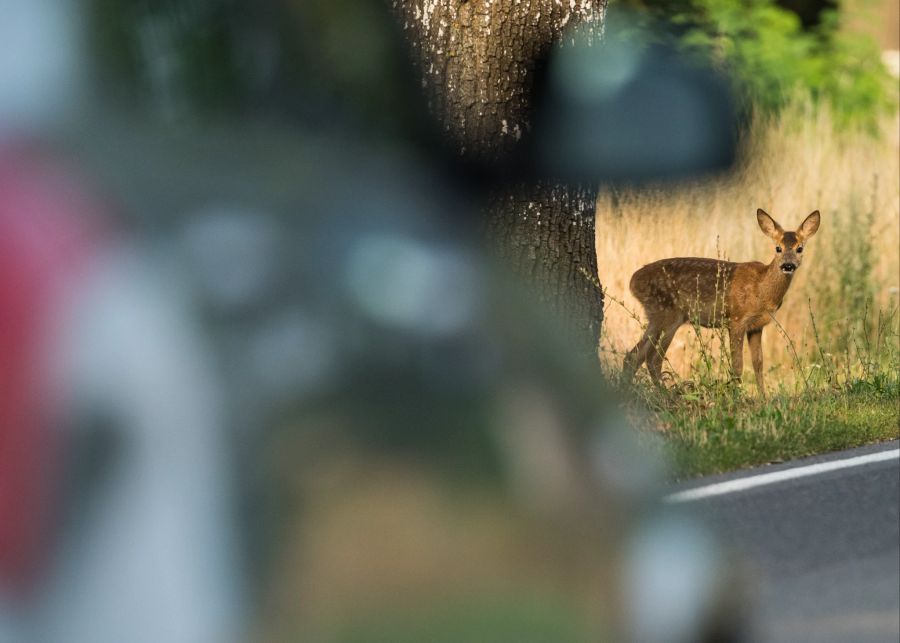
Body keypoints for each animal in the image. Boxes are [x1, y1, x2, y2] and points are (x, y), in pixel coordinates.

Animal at [624, 209, 820, 394]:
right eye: (778, 248)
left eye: (800, 248)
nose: (788, 265)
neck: (762, 289)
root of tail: (633, 281)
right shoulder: (736, 320)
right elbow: (738, 366)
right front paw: (737, 397)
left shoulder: (757, 326)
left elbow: (758, 364)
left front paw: (763, 399)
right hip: (668, 314)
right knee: (653, 358)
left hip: (656, 317)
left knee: (634, 355)